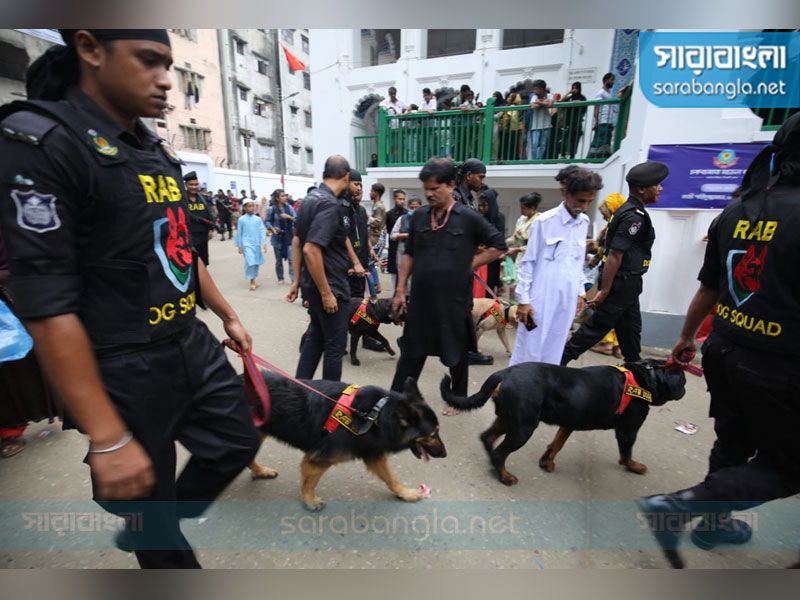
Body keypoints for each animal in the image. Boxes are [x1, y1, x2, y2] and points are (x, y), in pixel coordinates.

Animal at [247, 372, 444, 508]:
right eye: (432, 434)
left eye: (437, 432)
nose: (445, 454)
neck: (375, 414)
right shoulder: (318, 460)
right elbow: (309, 482)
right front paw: (309, 500)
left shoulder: (373, 454)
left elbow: (391, 478)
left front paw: (405, 493)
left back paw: (260, 471)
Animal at [440, 358, 684, 486]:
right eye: (682, 381)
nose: (684, 389)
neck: (645, 377)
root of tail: (504, 373)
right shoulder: (628, 430)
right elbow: (626, 454)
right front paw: (634, 466)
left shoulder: (570, 421)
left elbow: (556, 443)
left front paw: (546, 462)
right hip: (523, 427)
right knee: (501, 452)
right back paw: (505, 476)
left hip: (511, 418)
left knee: (488, 438)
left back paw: (494, 465)